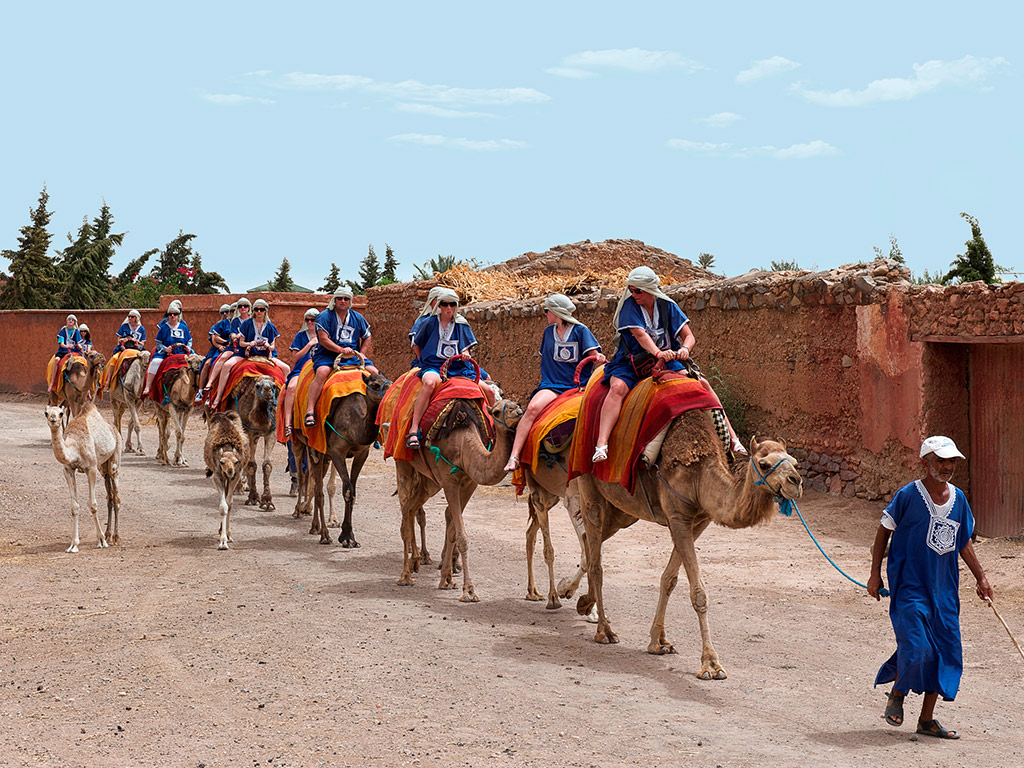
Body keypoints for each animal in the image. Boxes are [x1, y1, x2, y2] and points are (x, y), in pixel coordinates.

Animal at [44, 403, 122, 552]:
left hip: (115, 458)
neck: (75, 446)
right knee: (109, 494)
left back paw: (115, 538)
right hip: (103, 466)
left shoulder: (91, 468)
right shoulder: (68, 469)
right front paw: (73, 545)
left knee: (116, 496)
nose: (53, 420)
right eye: (46, 413)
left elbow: (93, 505)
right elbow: (74, 507)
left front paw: (101, 541)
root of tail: (113, 427)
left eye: (61, 413)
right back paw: (108, 535)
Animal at [202, 411, 246, 548]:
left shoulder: (236, 475)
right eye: (221, 462)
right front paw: (222, 541)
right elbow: (223, 507)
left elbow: (229, 503)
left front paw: (226, 536)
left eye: (236, 461)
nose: (229, 471)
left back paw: (227, 533)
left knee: (229, 500)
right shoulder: (217, 475)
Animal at [299, 372, 393, 548]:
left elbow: (353, 492)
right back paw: (324, 534)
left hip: (324, 457)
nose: (390, 395)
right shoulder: (337, 452)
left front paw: (350, 536)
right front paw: (346, 537)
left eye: (390, 381)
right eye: (375, 385)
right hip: (315, 449)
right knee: (317, 489)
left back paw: (315, 527)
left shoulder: (362, 453)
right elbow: (348, 490)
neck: (355, 426)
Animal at [395, 397, 524, 602]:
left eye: (516, 404)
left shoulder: (470, 482)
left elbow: (453, 530)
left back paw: (417, 561)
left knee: (412, 507)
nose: (518, 411)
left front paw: (447, 579)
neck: (464, 446)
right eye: (496, 412)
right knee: (405, 507)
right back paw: (406, 576)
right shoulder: (450, 482)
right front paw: (469, 591)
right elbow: (462, 536)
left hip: (429, 480)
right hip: (403, 464)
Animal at [573, 411, 802, 684]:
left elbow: (669, 579)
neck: (700, 477)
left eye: (795, 463)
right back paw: (604, 630)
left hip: (623, 510)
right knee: (596, 559)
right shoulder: (678, 517)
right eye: (765, 464)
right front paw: (711, 665)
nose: (795, 482)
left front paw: (658, 642)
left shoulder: (699, 521)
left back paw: (580, 601)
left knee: (590, 540)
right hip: (591, 490)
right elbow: (698, 593)